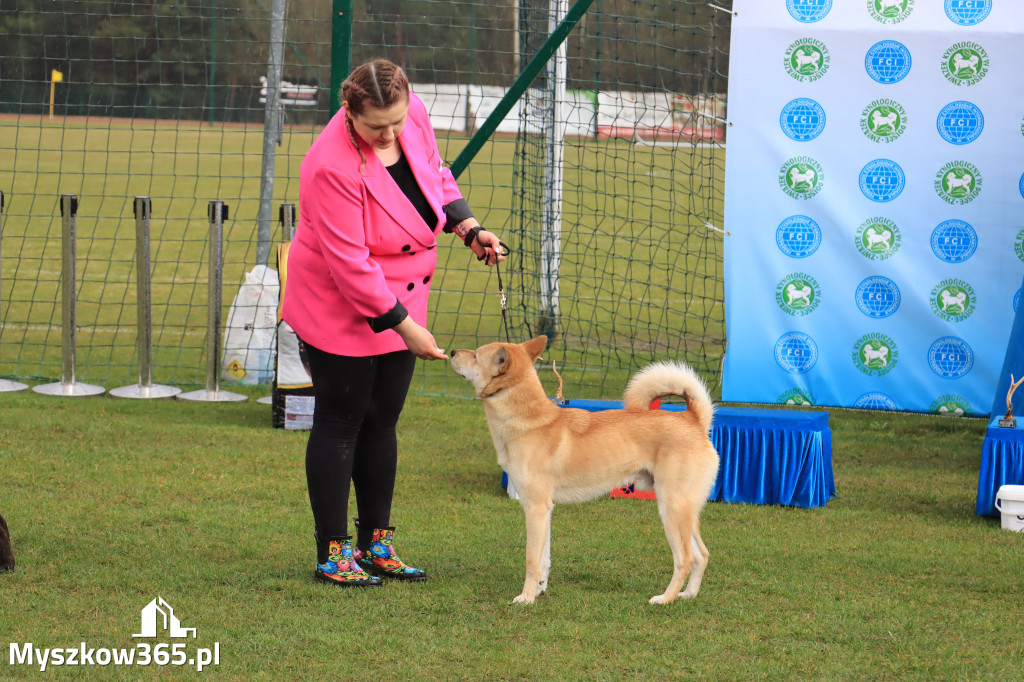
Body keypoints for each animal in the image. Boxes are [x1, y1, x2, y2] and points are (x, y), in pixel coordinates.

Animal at [456, 333, 720, 602]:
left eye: (476, 355)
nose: (454, 352)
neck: (529, 420)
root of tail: (693, 418)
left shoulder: (535, 507)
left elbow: (531, 561)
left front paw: (526, 598)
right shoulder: (545, 510)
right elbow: (544, 559)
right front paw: (540, 589)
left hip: (672, 508)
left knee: (685, 559)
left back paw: (665, 599)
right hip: (686, 510)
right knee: (702, 554)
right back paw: (688, 595)